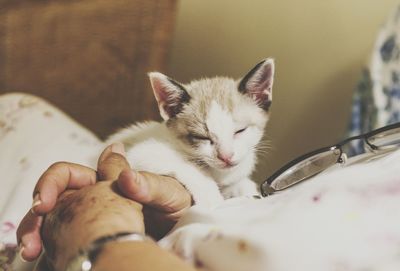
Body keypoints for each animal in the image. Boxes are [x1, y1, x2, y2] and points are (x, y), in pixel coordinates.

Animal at [106, 58, 276, 207]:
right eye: (201, 137)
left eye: (240, 131)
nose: (226, 157)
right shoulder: (141, 152)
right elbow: (190, 168)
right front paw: (214, 202)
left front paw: (245, 190)